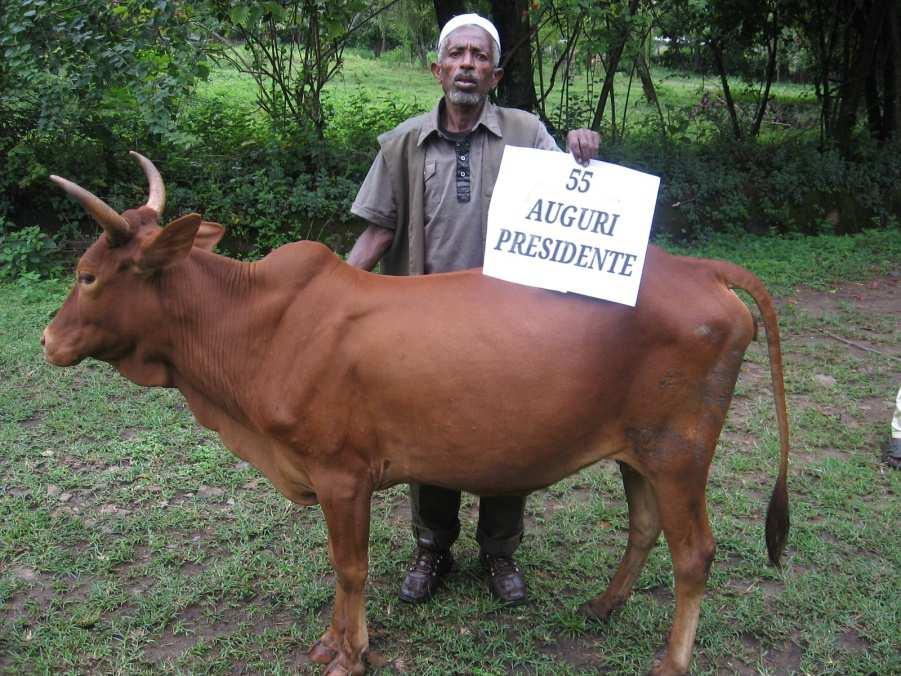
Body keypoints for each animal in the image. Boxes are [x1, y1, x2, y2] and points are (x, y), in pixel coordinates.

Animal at [42, 153, 788, 676]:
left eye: (87, 275)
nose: (49, 340)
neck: (255, 326)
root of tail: (698, 269)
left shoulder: (342, 476)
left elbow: (350, 567)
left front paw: (349, 653)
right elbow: (344, 568)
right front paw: (332, 642)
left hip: (679, 451)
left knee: (694, 553)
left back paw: (671, 660)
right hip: (638, 449)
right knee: (644, 527)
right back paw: (603, 606)